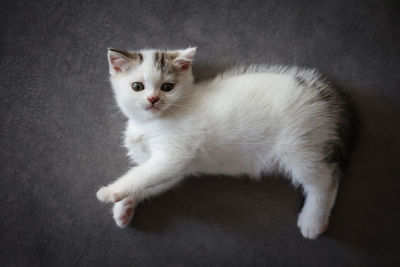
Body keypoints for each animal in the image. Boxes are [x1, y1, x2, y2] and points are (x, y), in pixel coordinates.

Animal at [97, 47, 354, 241]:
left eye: (167, 87)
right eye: (137, 87)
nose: (153, 99)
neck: (151, 123)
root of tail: (319, 90)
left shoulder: (174, 155)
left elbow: (141, 175)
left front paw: (111, 192)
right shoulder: (175, 169)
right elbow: (151, 180)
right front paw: (124, 208)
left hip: (299, 145)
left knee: (326, 179)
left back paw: (313, 220)